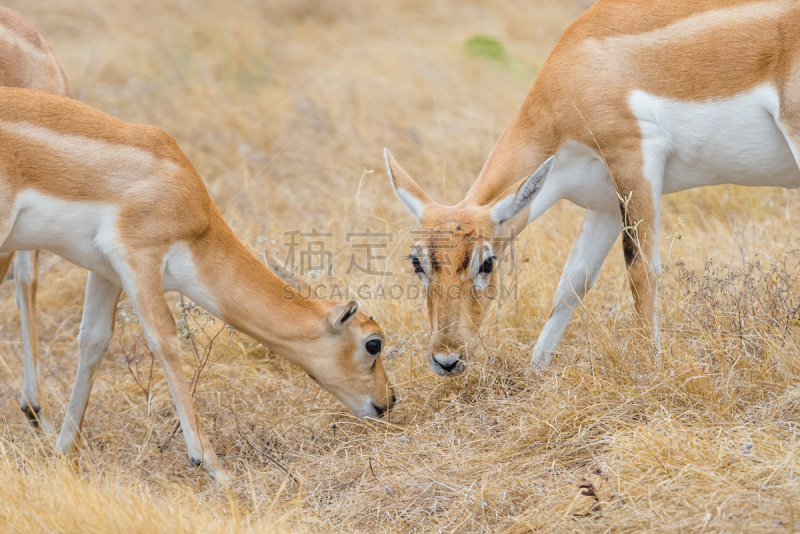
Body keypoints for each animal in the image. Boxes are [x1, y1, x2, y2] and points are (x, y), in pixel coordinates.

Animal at [0, 87, 396, 482]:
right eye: (373, 343)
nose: (388, 402)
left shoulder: (105, 270)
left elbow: (93, 341)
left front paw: (63, 453)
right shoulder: (139, 256)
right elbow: (165, 338)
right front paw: (213, 466)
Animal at [382, 0, 800, 376]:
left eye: (487, 261)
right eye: (417, 262)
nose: (446, 359)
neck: (576, 65)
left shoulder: (634, 161)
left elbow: (641, 269)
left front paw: (652, 367)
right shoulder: (604, 202)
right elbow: (573, 282)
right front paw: (535, 373)